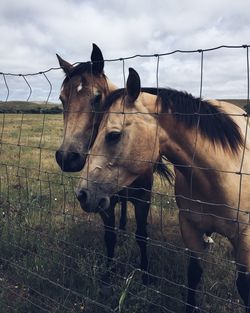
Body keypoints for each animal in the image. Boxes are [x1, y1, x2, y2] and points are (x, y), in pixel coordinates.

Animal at [55, 45, 172, 284]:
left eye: (97, 97)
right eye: (62, 99)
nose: (67, 157)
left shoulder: (143, 199)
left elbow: (142, 236)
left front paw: (145, 275)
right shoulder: (103, 202)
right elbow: (110, 237)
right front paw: (108, 274)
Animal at [76, 67, 250, 310]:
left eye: (114, 135)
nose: (82, 194)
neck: (221, 176)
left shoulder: (245, 238)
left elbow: (243, 286)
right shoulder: (189, 227)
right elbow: (194, 273)